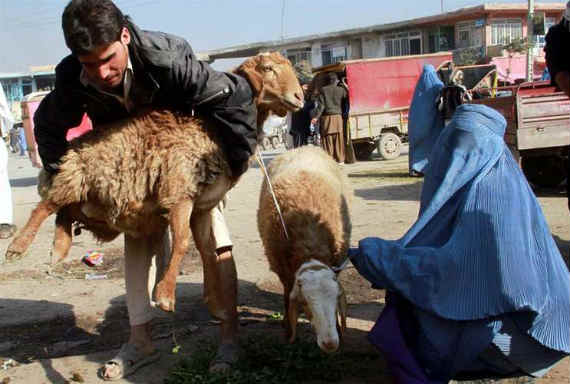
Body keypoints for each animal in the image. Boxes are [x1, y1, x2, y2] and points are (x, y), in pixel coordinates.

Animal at [258, 146, 350, 352]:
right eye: (306, 302)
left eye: (335, 299)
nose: (330, 344)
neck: (310, 248)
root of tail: (301, 147)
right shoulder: (284, 273)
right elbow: (286, 297)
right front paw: (288, 331)